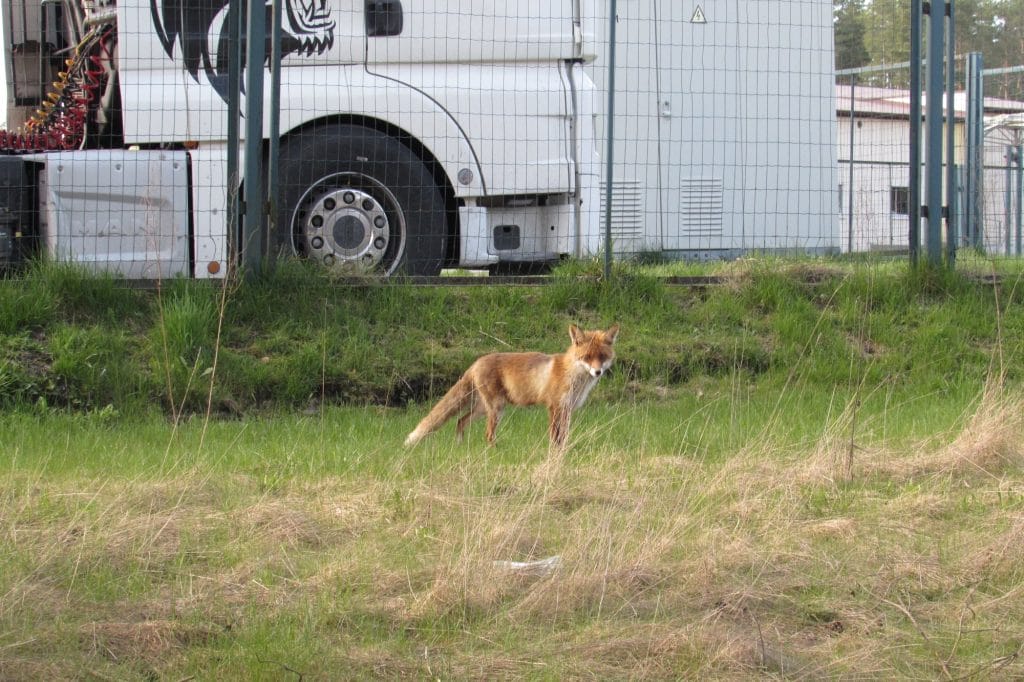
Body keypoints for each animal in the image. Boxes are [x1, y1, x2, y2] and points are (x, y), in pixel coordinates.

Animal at [404, 324, 620, 449]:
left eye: (602, 357)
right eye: (587, 357)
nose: (597, 372)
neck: (573, 375)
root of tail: (476, 362)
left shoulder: (567, 409)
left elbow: (564, 435)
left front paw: (564, 451)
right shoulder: (554, 407)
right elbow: (554, 436)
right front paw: (554, 453)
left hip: (483, 409)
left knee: (460, 421)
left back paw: (460, 447)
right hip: (496, 409)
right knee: (487, 434)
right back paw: (494, 451)